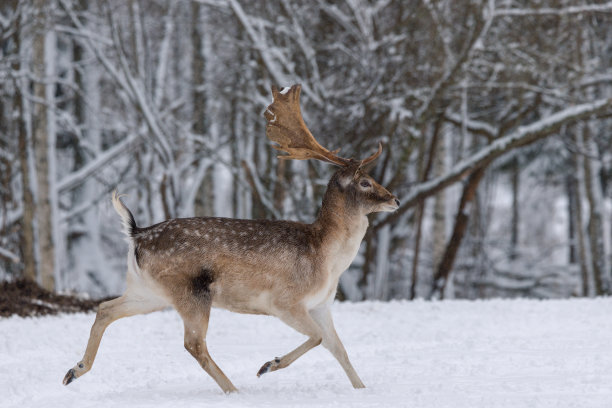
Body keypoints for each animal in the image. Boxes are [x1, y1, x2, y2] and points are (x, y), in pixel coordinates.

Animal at [61, 83, 396, 392]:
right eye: (365, 182)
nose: (395, 199)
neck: (326, 259)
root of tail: (136, 234)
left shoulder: (321, 305)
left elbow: (339, 349)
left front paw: (362, 389)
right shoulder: (284, 300)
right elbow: (318, 337)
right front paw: (268, 365)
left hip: (149, 290)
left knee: (105, 309)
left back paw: (74, 371)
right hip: (191, 291)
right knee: (193, 344)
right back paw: (234, 389)